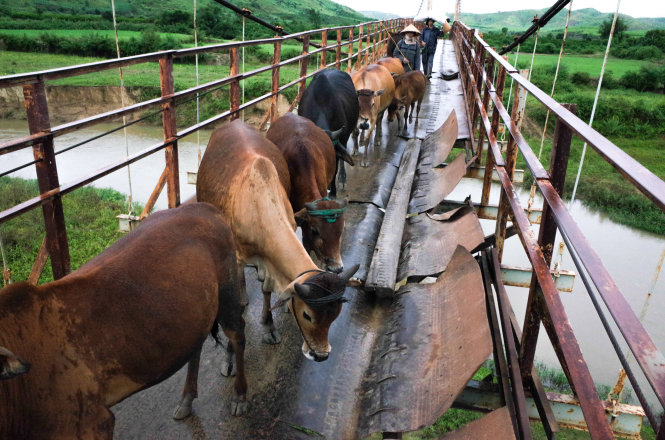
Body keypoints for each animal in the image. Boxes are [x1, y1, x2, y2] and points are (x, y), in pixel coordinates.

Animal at [0, 204, 246, 440]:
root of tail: (205, 207)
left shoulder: (93, 423)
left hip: (227, 294)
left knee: (238, 334)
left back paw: (239, 396)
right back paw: (186, 399)